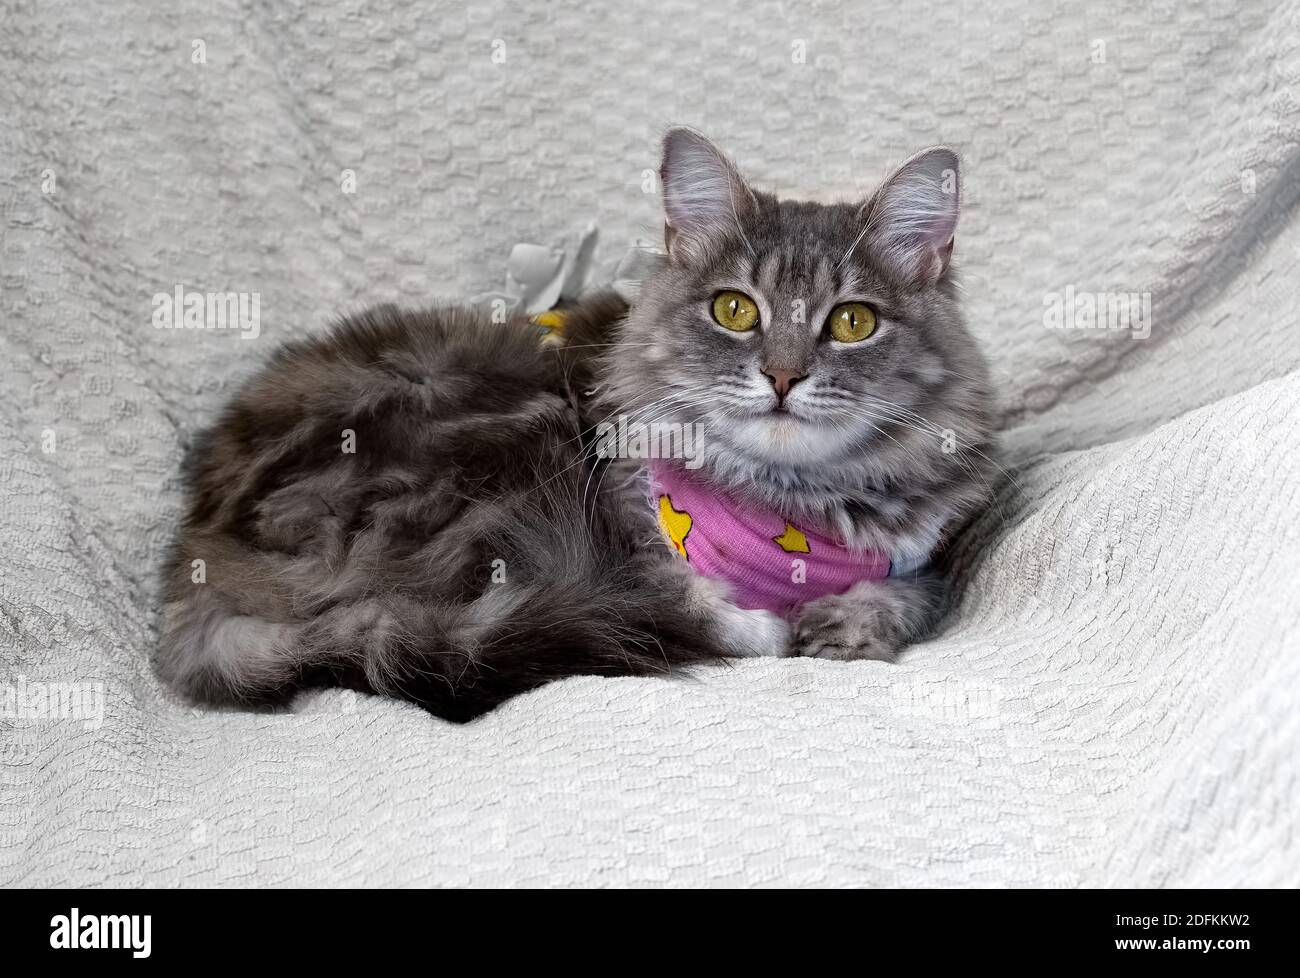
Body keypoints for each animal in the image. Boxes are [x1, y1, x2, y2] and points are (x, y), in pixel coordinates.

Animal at [159, 128, 993, 717]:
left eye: (853, 322)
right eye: (734, 310)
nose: (784, 377)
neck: (791, 506)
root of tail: (194, 558)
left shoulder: (924, 556)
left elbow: (910, 594)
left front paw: (850, 623)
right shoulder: (630, 537)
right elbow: (707, 611)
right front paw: (783, 627)